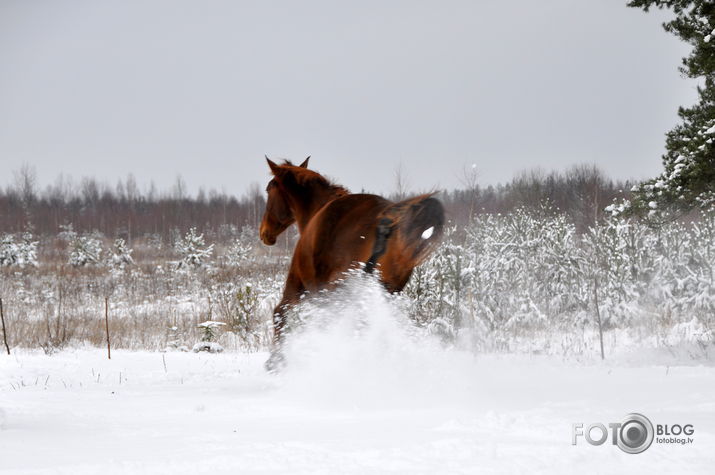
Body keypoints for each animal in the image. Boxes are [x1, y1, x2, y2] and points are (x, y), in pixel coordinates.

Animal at [260, 158, 444, 370]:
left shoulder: (299, 284)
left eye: (268, 189)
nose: (264, 232)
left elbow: (280, 313)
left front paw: (275, 362)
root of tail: (389, 221)